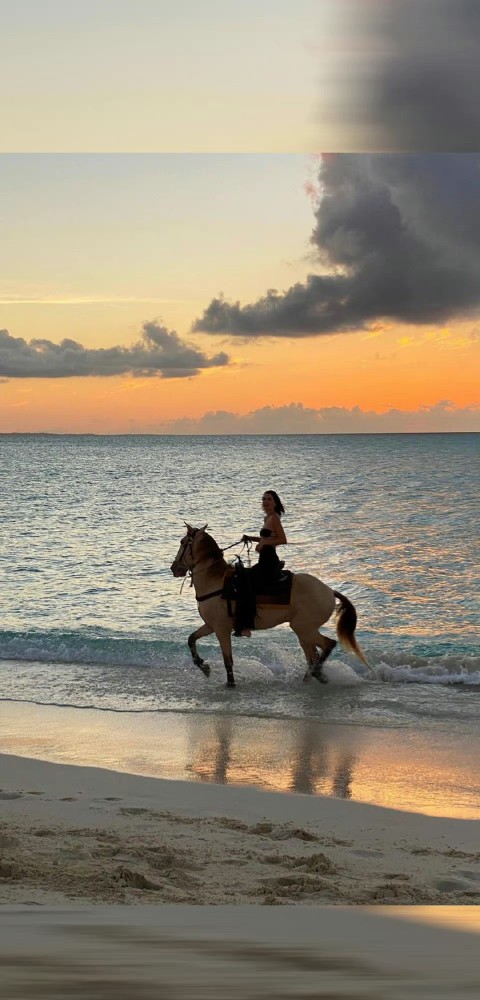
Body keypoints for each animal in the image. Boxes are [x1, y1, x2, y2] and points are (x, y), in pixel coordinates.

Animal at [171, 524, 370, 688]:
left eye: (182, 542)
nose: (174, 568)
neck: (214, 582)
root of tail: (329, 591)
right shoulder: (211, 625)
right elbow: (191, 639)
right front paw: (204, 666)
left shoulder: (221, 629)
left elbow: (228, 660)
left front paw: (230, 683)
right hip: (304, 631)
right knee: (312, 656)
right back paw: (312, 678)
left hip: (303, 628)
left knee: (328, 645)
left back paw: (317, 674)